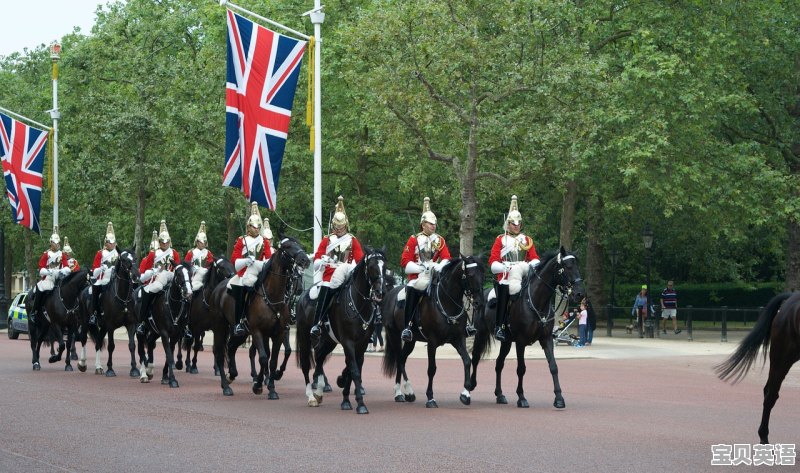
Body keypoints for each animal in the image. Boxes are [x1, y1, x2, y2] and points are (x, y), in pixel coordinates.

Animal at [209, 236, 310, 394]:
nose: (305, 260)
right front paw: (258, 385)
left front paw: (271, 386)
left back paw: (232, 374)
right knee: (219, 353)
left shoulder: (279, 332)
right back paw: (226, 386)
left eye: (299, 244)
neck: (273, 297)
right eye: (287, 247)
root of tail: (218, 289)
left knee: (231, 347)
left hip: (242, 332)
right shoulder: (257, 331)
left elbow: (273, 359)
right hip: (220, 327)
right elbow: (263, 357)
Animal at [298, 249, 390, 412]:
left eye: (384, 266)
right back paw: (311, 397)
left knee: (319, 358)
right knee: (306, 364)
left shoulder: (362, 343)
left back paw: (319, 391)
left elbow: (353, 368)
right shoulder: (348, 341)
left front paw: (345, 396)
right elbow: (353, 369)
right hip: (305, 338)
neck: (358, 304)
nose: (381, 292)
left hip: (329, 341)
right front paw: (360, 403)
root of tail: (302, 295)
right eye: (371, 266)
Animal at [382, 254, 488, 406]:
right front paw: (430, 397)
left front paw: (465, 394)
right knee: (399, 359)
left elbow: (467, 360)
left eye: (483, 274)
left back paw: (403, 393)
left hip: (411, 340)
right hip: (394, 335)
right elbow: (432, 369)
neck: (447, 302)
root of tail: (391, 293)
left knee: (402, 358)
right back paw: (404, 391)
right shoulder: (432, 342)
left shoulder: (458, 339)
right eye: (471, 275)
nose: (480, 303)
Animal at [466, 249, 584, 408]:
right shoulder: (521, 342)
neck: (536, 301)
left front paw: (559, 398)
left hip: (506, 341)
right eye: (567, 267)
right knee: (476, 357)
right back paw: (471, 386)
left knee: (499, 363)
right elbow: (521, 369)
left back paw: (500, 394)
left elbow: (553, 366)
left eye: (577, 266)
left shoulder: (546, 339)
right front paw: (521, 398)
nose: (580, 294)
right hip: (481, 334)